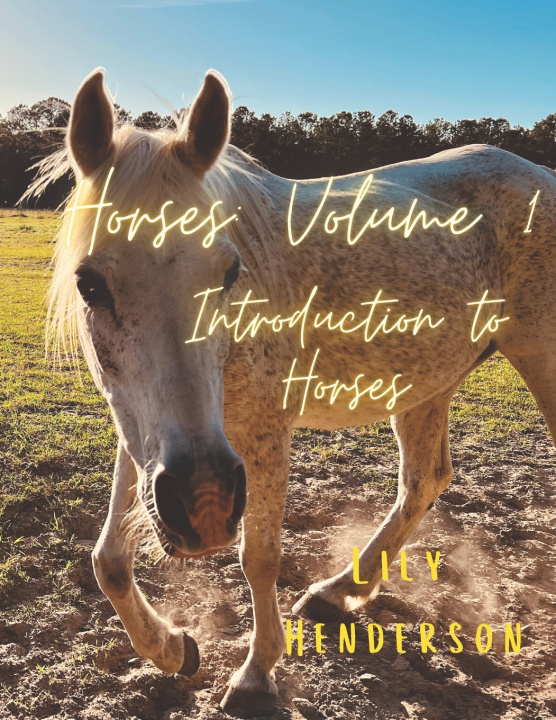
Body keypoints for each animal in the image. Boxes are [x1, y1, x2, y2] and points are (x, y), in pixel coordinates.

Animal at [29, 67, 556, 718]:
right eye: (89, 283)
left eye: (228, 273)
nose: (204, 501)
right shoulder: (145, 439)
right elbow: (109, 560)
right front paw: (173, 649)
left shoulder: (262, 436)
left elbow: (258, 558)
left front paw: (256, 675)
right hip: (425, 383)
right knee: (423, 482)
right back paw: (338, 592)